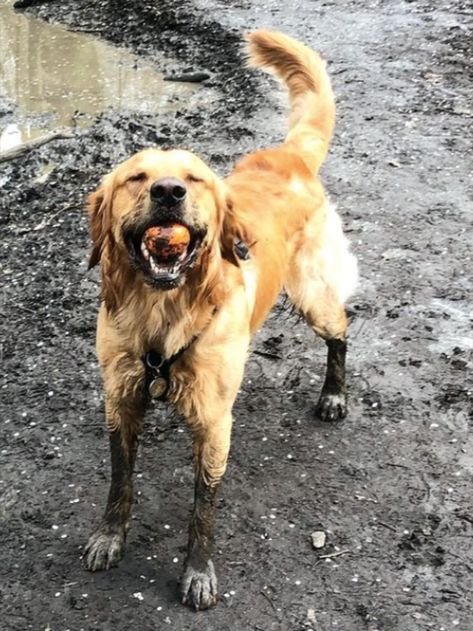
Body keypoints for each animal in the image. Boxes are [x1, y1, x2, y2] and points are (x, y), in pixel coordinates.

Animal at [83, 29, 358, 612]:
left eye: (194, 179)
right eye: (137, 177)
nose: (168, 191)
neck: (163, 311)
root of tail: (288, 155)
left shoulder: (212, 422)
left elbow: (203, 508)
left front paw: (198, 572)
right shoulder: (120, 397)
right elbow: (120, 481)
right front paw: (109, 537)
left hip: (313, 295)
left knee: (342, 328)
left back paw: (334, 394)